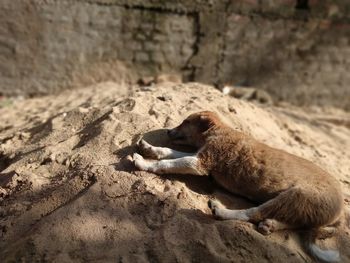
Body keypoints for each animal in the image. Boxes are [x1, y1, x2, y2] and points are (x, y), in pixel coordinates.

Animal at [133, 112, 344, 263]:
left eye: (186, 121)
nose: (168, 131)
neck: (219, 131)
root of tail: (340, 212)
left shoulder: (200, 162)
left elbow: (167, 163)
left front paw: (144, 163)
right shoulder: (198, 155)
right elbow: (169, 151)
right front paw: (149, 148)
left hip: (296, 194)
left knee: (253, 213)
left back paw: (221, 211)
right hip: (301, 206)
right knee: (296, 222)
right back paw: (271, 224)